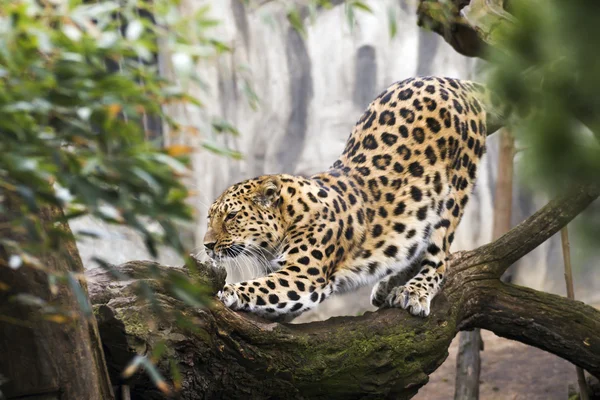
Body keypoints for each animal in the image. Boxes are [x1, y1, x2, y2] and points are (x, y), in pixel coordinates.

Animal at [204, 76, 494, 322]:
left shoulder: (302, 276)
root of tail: (450, 80)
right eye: (210, 218)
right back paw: (387, 285)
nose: (207, 245)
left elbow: (260, 287)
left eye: (232, 216)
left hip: (453, 195)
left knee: (439, 256)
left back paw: (414, 292)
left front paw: (229, 291)